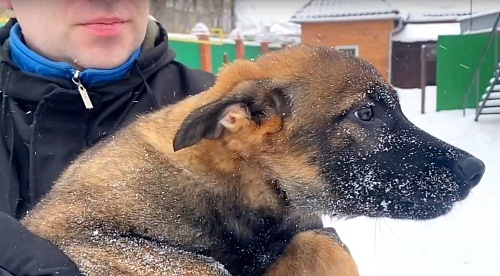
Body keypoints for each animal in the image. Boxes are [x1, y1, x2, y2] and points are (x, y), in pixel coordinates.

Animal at [20, 44, 484, 274]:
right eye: (366, 114)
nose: (476, 170)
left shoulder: (307, 230)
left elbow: (323, 243)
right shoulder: (73, 234)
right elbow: (204, 267)